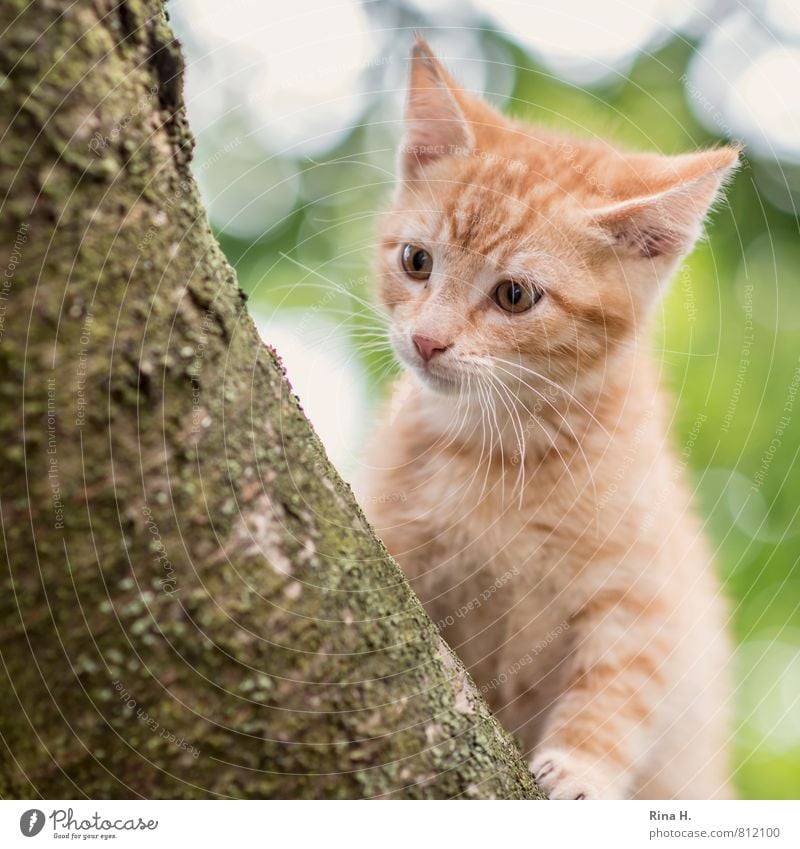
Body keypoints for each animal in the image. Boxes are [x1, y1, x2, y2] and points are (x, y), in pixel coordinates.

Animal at [362, 36, 736, 800]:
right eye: (416, 261)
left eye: (514, 295)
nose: (427, 341)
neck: (504, 446)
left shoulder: (643, 590)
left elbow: (621, 684)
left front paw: (582, 769)